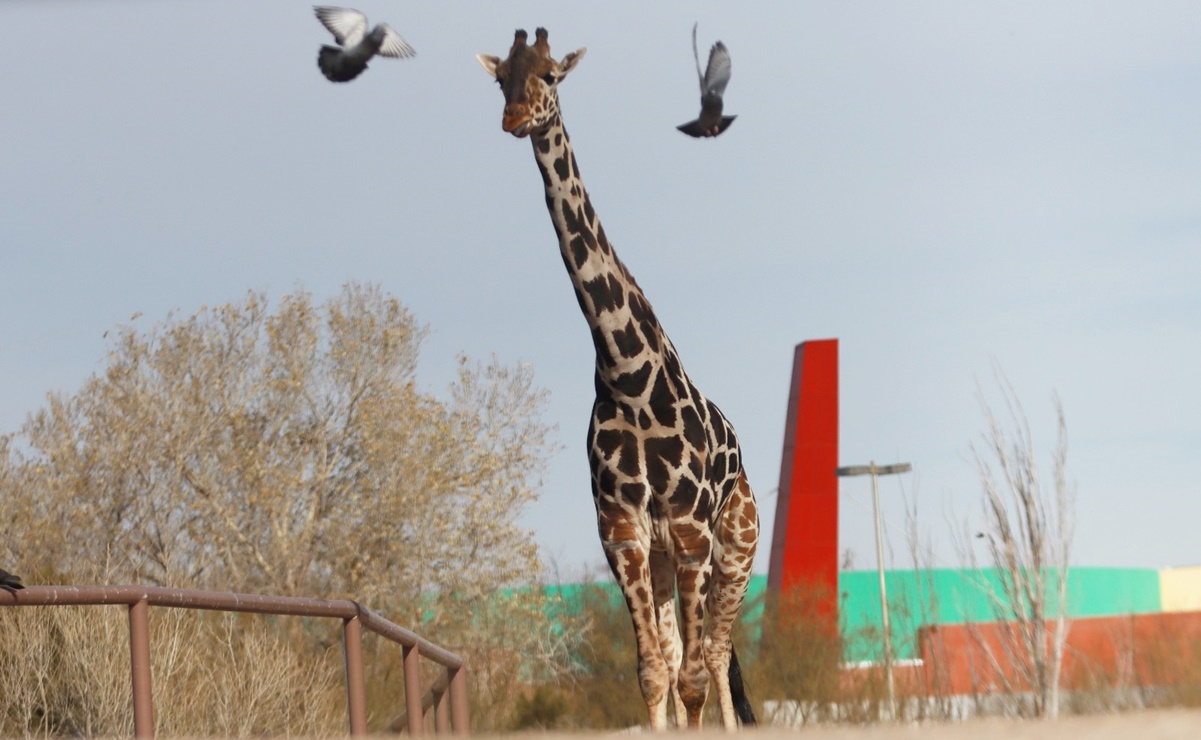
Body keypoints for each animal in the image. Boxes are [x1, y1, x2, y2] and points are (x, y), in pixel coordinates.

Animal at [477, 28, 759, 730]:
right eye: (501, 78)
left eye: (550, 75)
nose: (514, 118)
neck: (628, 375)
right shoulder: (623, 533)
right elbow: (654, 672)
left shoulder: (689, 531)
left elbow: (692, 678)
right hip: (664, 559)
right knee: (688, 651)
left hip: (735, 546)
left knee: (716, 653)